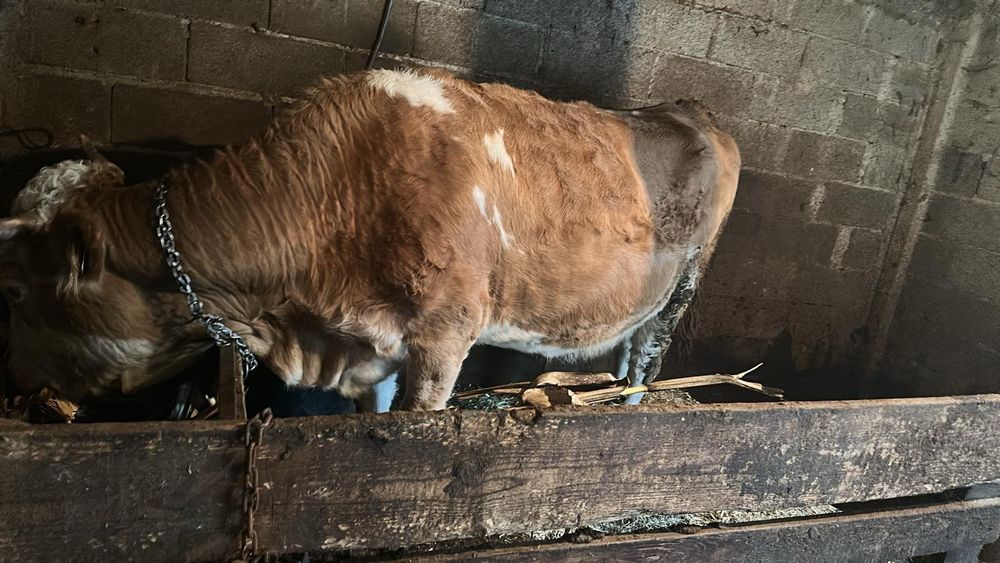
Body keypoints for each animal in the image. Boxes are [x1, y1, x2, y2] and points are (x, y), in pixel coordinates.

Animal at [0, 68, 740, 411]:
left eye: (15, 291)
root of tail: (688, 108)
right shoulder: (371, 349)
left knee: (644, 364)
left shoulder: (445, 334)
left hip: (682, 288)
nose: (17, 382)